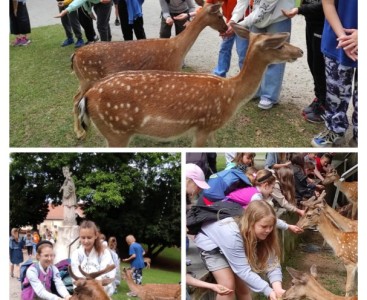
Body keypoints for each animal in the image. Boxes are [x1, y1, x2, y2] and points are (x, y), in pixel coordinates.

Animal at [72, 0, 227, 139]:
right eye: (220, 15)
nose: (226, 28)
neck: (178, 49)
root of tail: (74, 56)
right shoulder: (169, 70)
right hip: (89, 77)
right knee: (76, 100)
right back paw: (79, 133)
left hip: (84, 79)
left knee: (76, 97)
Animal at [73, 23, 304, 145]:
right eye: (280, 45)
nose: (300, 51)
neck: (232, 94)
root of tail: (89, 97)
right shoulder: (205, 124)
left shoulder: (210, 129)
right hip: (116, 130)